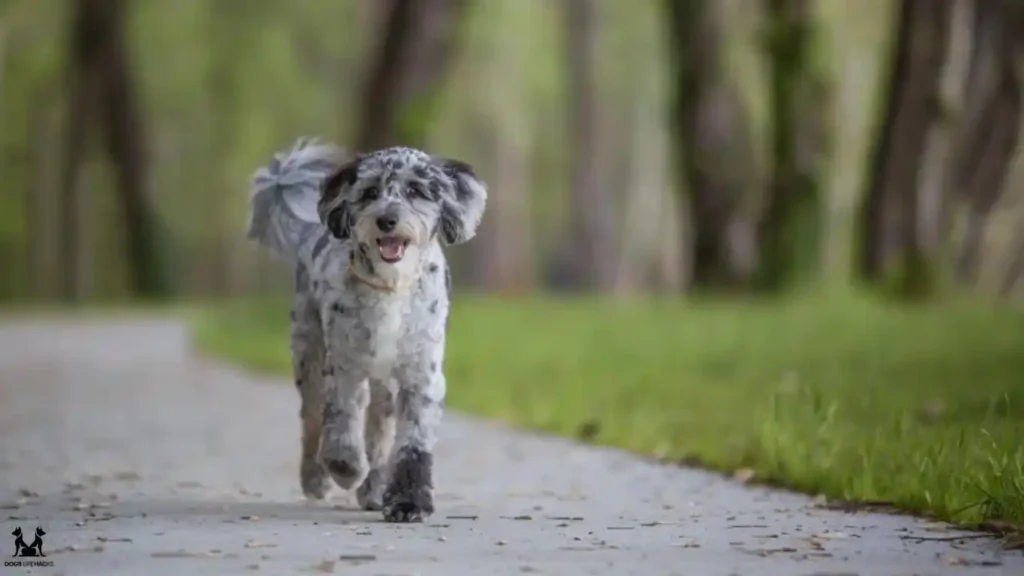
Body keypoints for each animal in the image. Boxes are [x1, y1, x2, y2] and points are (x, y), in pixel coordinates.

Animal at [246, 138, 487, 520]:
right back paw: (316, 478)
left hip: (384, 385)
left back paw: (374, 489)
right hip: (308, 355)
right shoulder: (346, 366)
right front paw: (346, 467)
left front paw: (408, 501)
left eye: (416, 190)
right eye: (370, 191)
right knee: (311, 421)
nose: (386, 219)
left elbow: (412, 444)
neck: (392, 287)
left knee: (380, 434)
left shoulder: (422, 373)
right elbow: (341, 421)